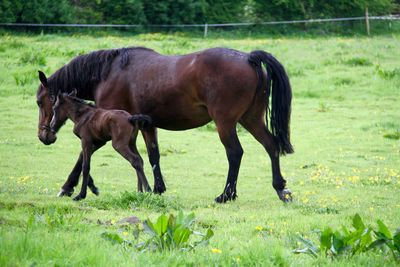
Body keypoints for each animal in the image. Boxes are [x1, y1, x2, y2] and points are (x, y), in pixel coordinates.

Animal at [36, 47, 294, 204]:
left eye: (41, 101)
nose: (44, 136)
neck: (107, 74)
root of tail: (249, 58)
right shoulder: (146, 126)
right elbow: (153, 155)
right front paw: (157, 188)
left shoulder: (104, 130)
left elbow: (83, 158)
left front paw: (69, 188)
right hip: (250, 119)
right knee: (271, 146)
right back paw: (280, 188)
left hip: (226, 123)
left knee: (235, 153)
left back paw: (225, 195)